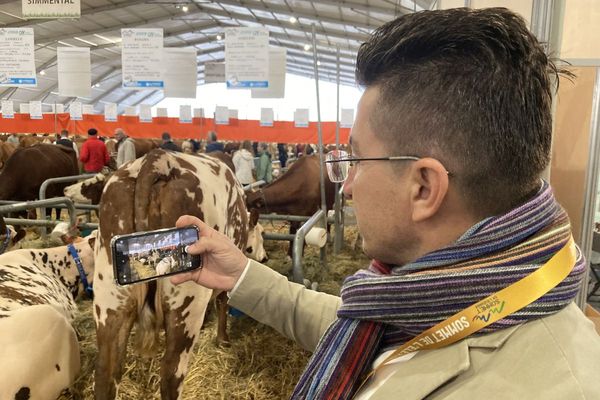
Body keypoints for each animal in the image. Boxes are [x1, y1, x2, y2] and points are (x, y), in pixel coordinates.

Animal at [92, 148, 264, 398]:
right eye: (260, 232)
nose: (265, 257)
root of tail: (156, 160)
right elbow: (223, 301)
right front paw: (223, 339)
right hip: (186, 304)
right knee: (171, 375)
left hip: (110, 301)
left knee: (106, 374)